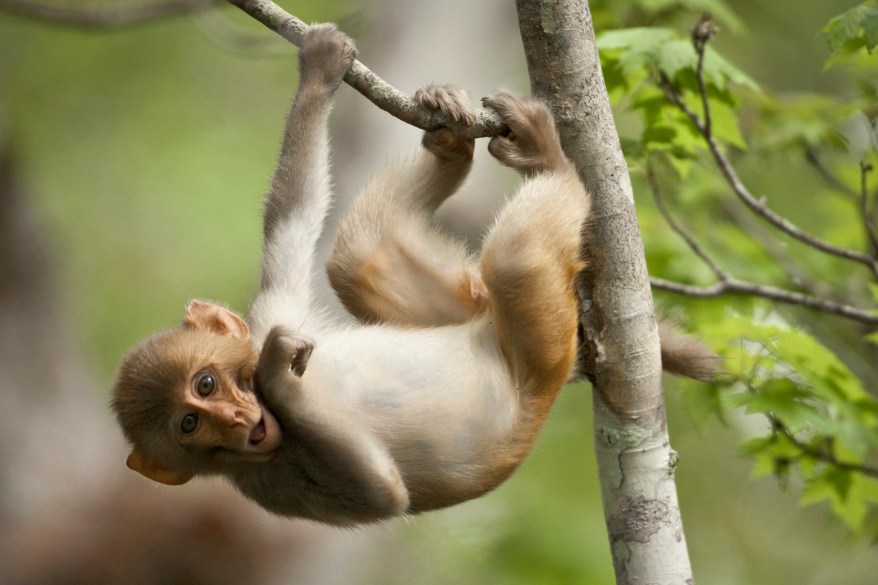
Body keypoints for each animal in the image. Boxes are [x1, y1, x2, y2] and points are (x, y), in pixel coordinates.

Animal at [111, 22, 716, 528]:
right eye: (190, 425)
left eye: (206, 384)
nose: (237, 418)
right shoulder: (267, 480)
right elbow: (382, 494)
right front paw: (279, 373)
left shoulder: (263, 318)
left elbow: (292, 216)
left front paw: (320, 68)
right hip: (542, 353)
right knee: (515, 258)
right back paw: (550, 161)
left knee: (354, 258)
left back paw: (453, 144)